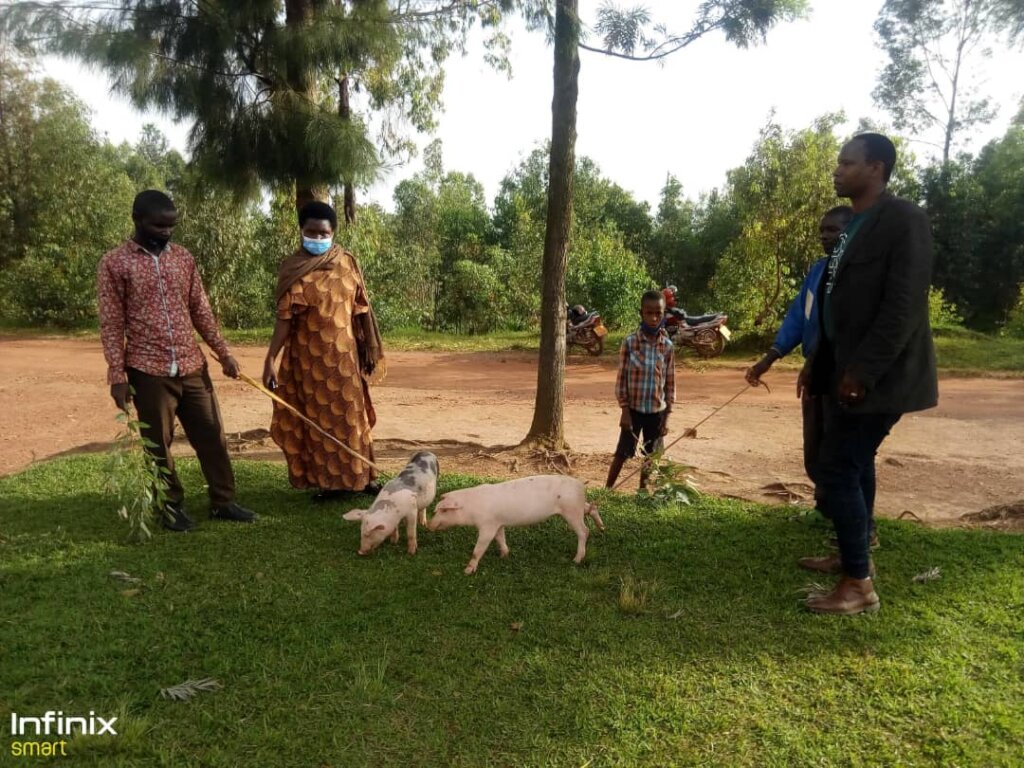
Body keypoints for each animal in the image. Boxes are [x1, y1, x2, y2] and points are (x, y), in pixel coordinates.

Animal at [421, 475, 598, 577]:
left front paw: (467, 571)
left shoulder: (487, 525)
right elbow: (500, 538)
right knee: (591, 508)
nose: (429, 525)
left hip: (571, 510)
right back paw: (601, 527)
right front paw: (504, 555)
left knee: (584, 531)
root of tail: (581, 485)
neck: (471, 508)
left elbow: (478, 549)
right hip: (576, 507)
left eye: (443, 510)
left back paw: (576, 560)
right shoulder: (498, 523)